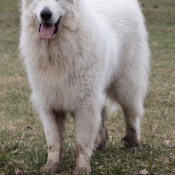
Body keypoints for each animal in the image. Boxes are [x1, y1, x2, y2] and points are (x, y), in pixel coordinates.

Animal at [19, 0, 150, 174]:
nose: (45, 14)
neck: (57, 49)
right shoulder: (49, 103)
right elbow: (53, 141)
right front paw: (51, 165)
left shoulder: (84, 103)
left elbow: (81, 141)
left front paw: (82, 167)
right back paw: (99, 143)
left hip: (125, 85)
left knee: (131, 113)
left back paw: (133, 143)